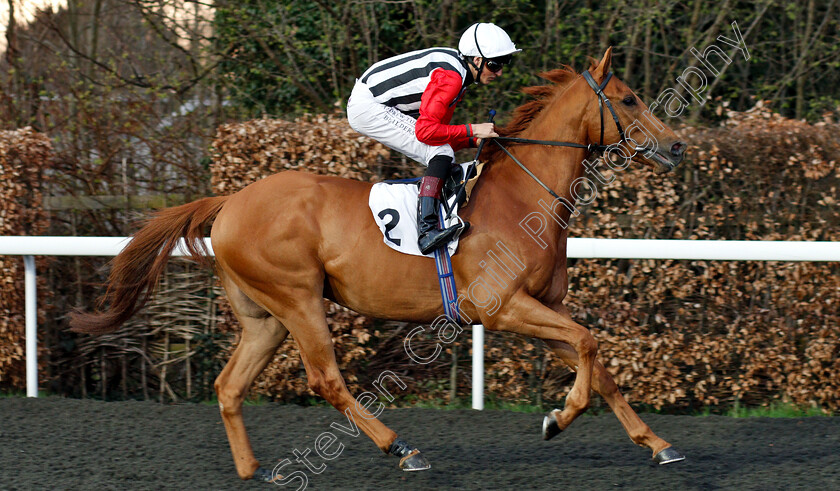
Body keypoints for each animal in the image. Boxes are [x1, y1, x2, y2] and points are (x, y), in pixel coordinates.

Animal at [70, 49, 688, 480]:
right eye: (629, 99)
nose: (678, 146)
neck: (522, 197)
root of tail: (229, 201)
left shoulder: (541, 306)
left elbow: (597, 363)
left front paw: (658, 445)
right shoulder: (503, 307)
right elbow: (588, 345)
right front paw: (557, 420)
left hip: (265, 317)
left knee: (229, 385)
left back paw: (253, 469)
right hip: (298, 299)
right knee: (326, 379)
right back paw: (401, 448)